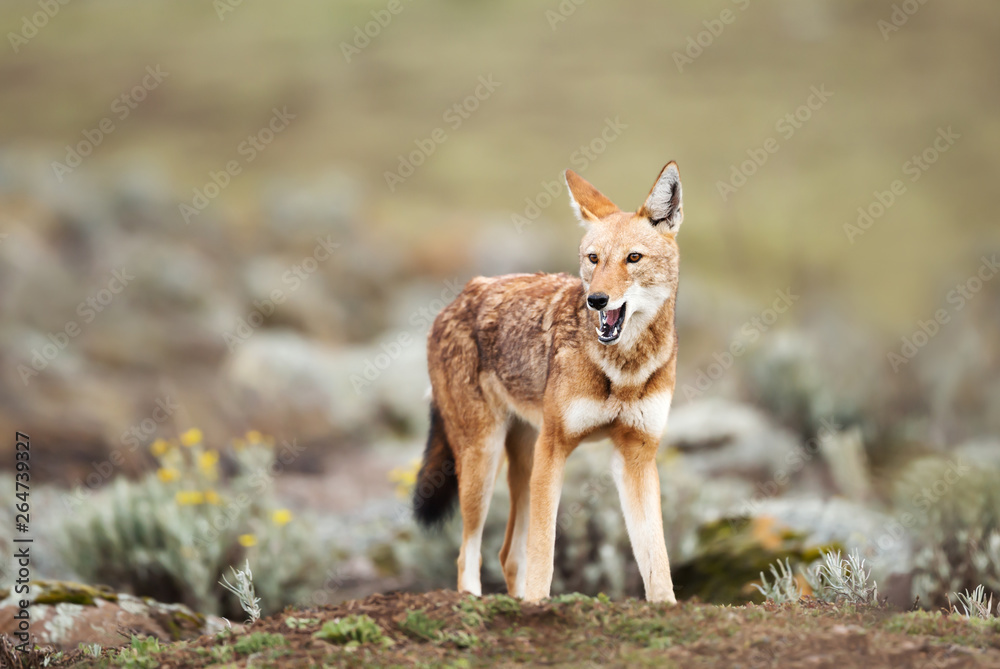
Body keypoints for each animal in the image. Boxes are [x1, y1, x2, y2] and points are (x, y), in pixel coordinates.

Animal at [410, 163, 684, 604]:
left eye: (633, 258)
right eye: (593, 259)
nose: (597, 300)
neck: (623, 370)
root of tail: (459, 297)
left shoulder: (636, 457)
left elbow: (657, 561)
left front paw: (666, 608)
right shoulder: (554, 448)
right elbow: (544, 552)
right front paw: (540, 605)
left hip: (521, 460)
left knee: (507, 555)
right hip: (484, 462)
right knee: (469, 554)